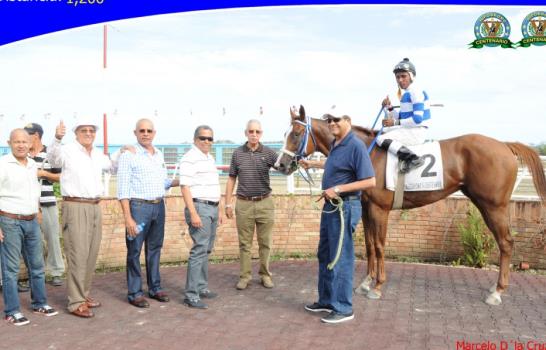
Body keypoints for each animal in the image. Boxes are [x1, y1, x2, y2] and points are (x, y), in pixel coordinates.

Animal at [276, 105, 544, 304]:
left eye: (296, 134)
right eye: (284, 134)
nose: (280, 165)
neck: (366, 152)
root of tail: (505, 145)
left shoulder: (380, 209)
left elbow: (380, 246)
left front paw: (378, 286)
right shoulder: (367, 209)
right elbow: (370, 246)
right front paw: (365, 282)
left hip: (493, 205)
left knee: (506, 242)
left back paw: (497, 291)